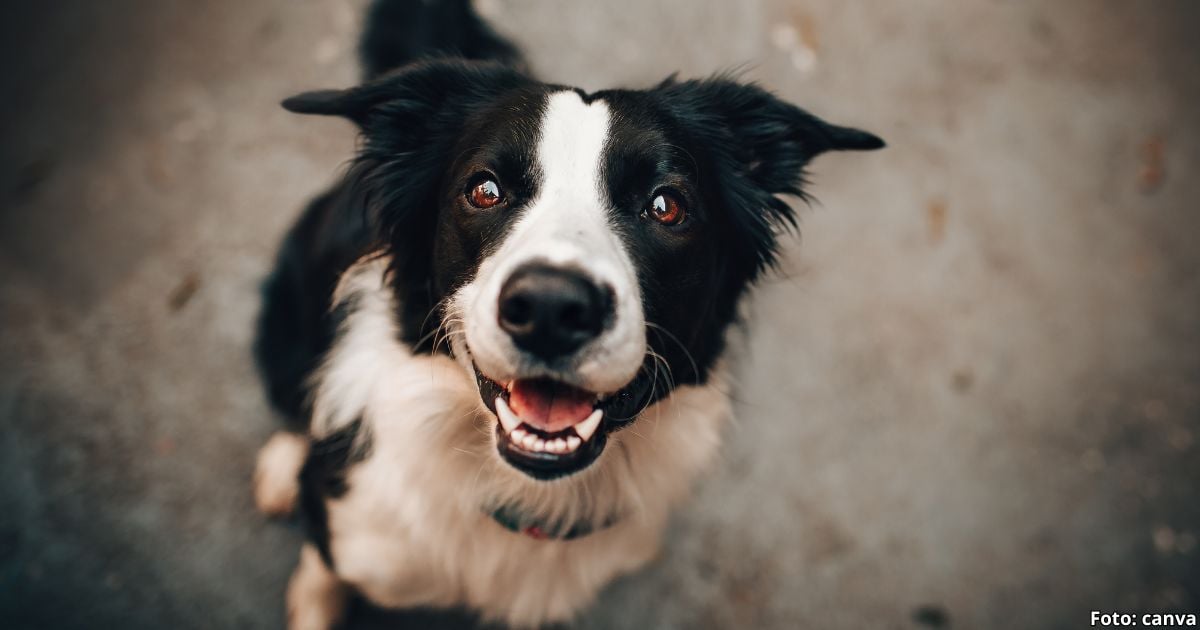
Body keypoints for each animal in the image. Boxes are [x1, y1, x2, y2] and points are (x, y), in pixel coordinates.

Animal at [250, 2, 883, 624]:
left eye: (666, 205)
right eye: (484, 190)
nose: (551, 308)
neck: (528, 493)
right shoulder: (348, 535)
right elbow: (320, 576)